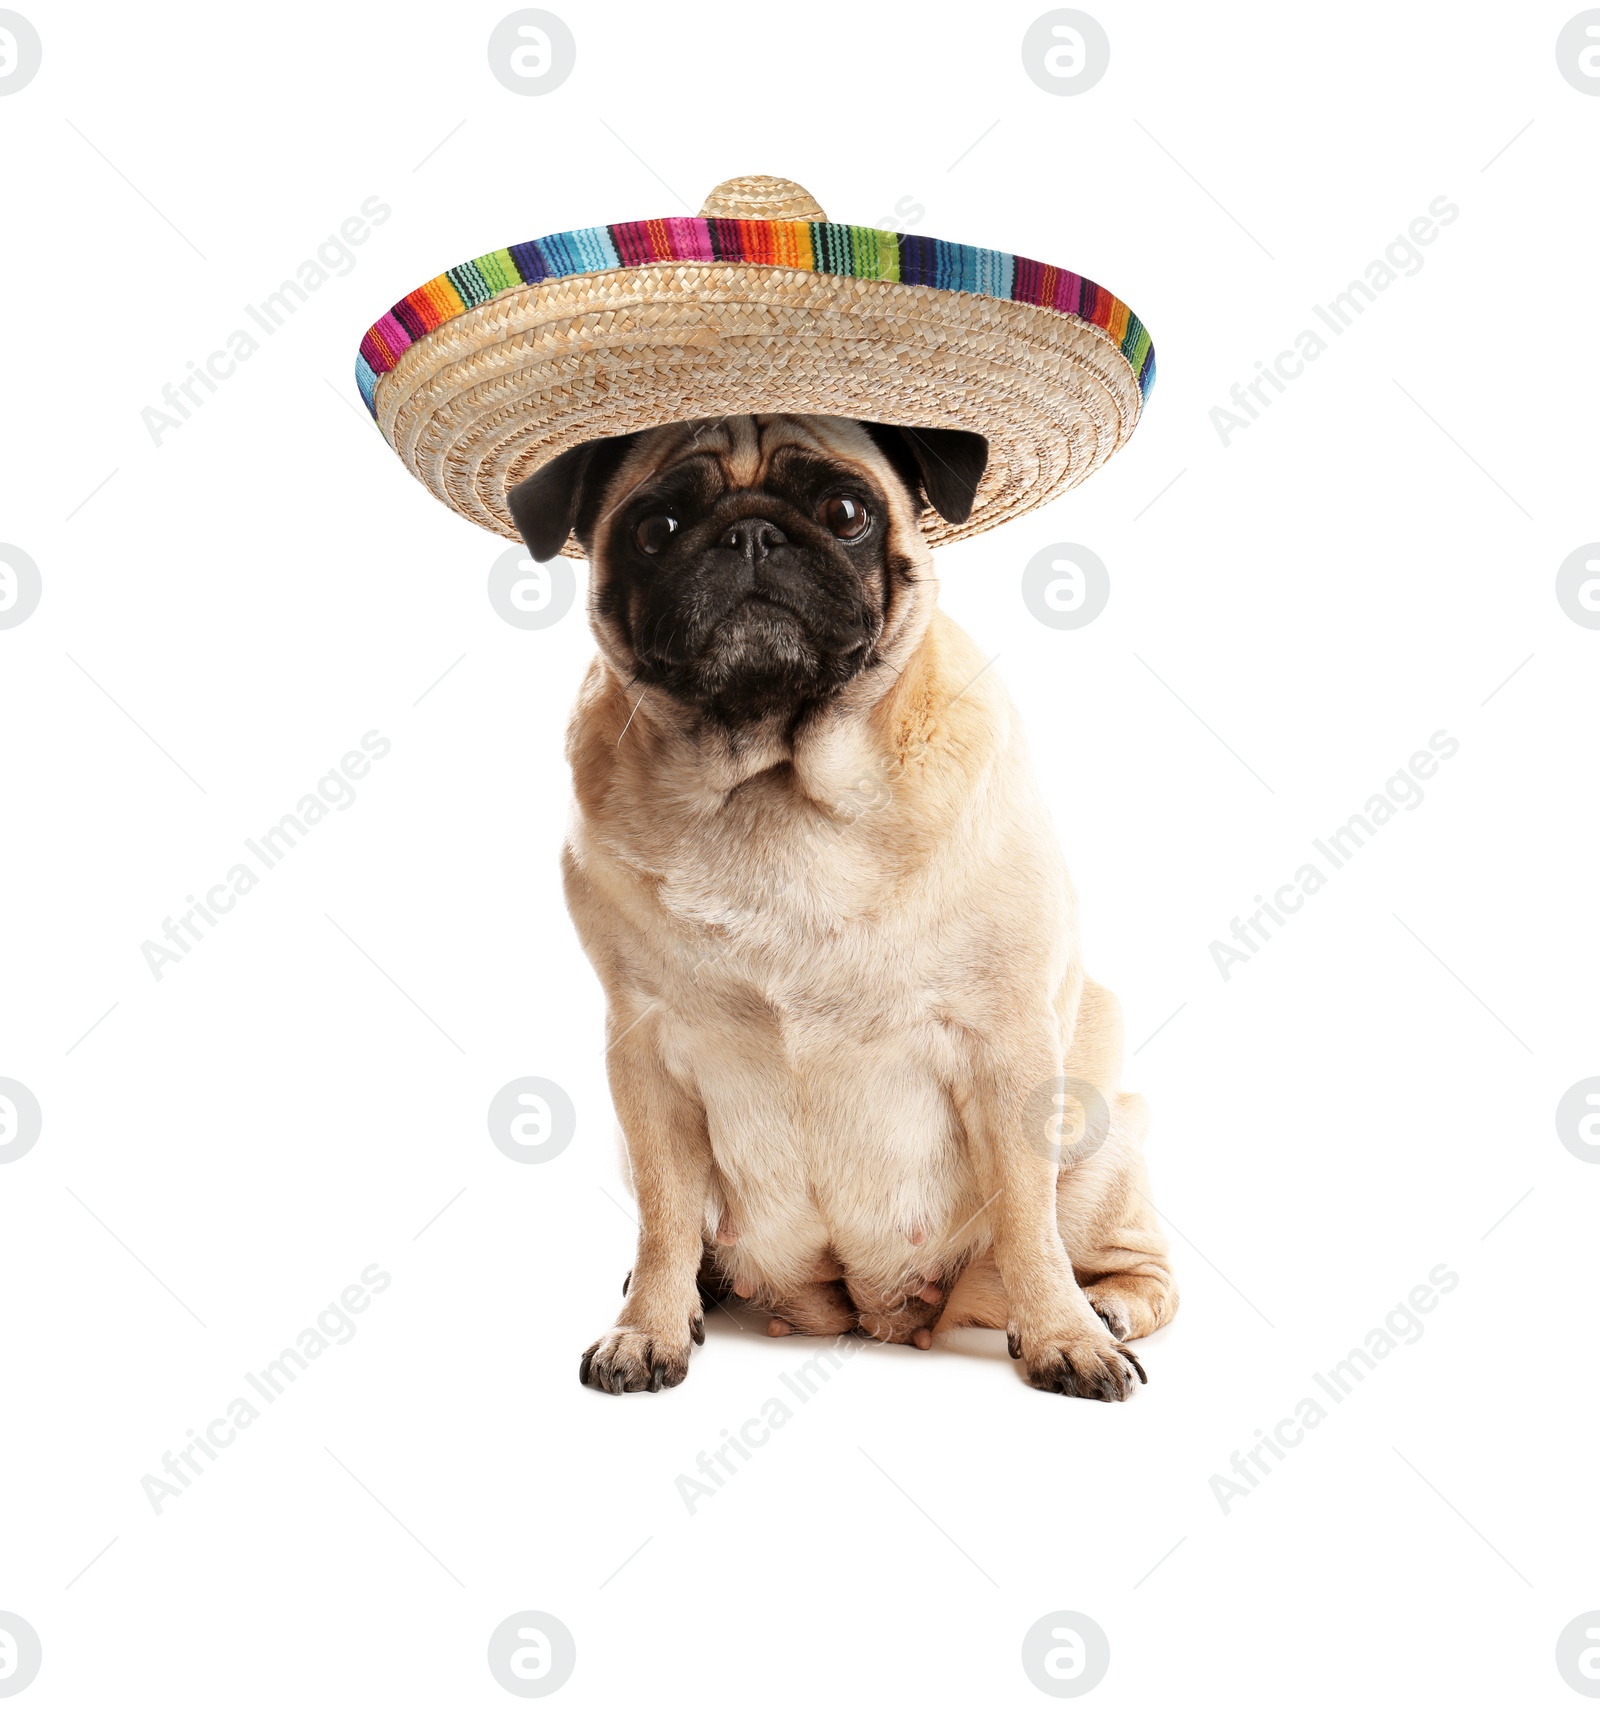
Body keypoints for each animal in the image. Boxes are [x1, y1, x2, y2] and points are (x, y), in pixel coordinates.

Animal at [509, 416, 1176, 1401]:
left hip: (1096, 1145)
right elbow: (667, 1214)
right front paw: (649, 1326)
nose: (751, 533)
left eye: (847, 513)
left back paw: (1105, 1309)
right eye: (656, 529)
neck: (776, 781)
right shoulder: (647, 1059)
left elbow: (1026, 1216)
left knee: (1129, 1258)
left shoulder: (1008, 1047)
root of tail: (866, 1307)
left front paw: (1064, 1334)